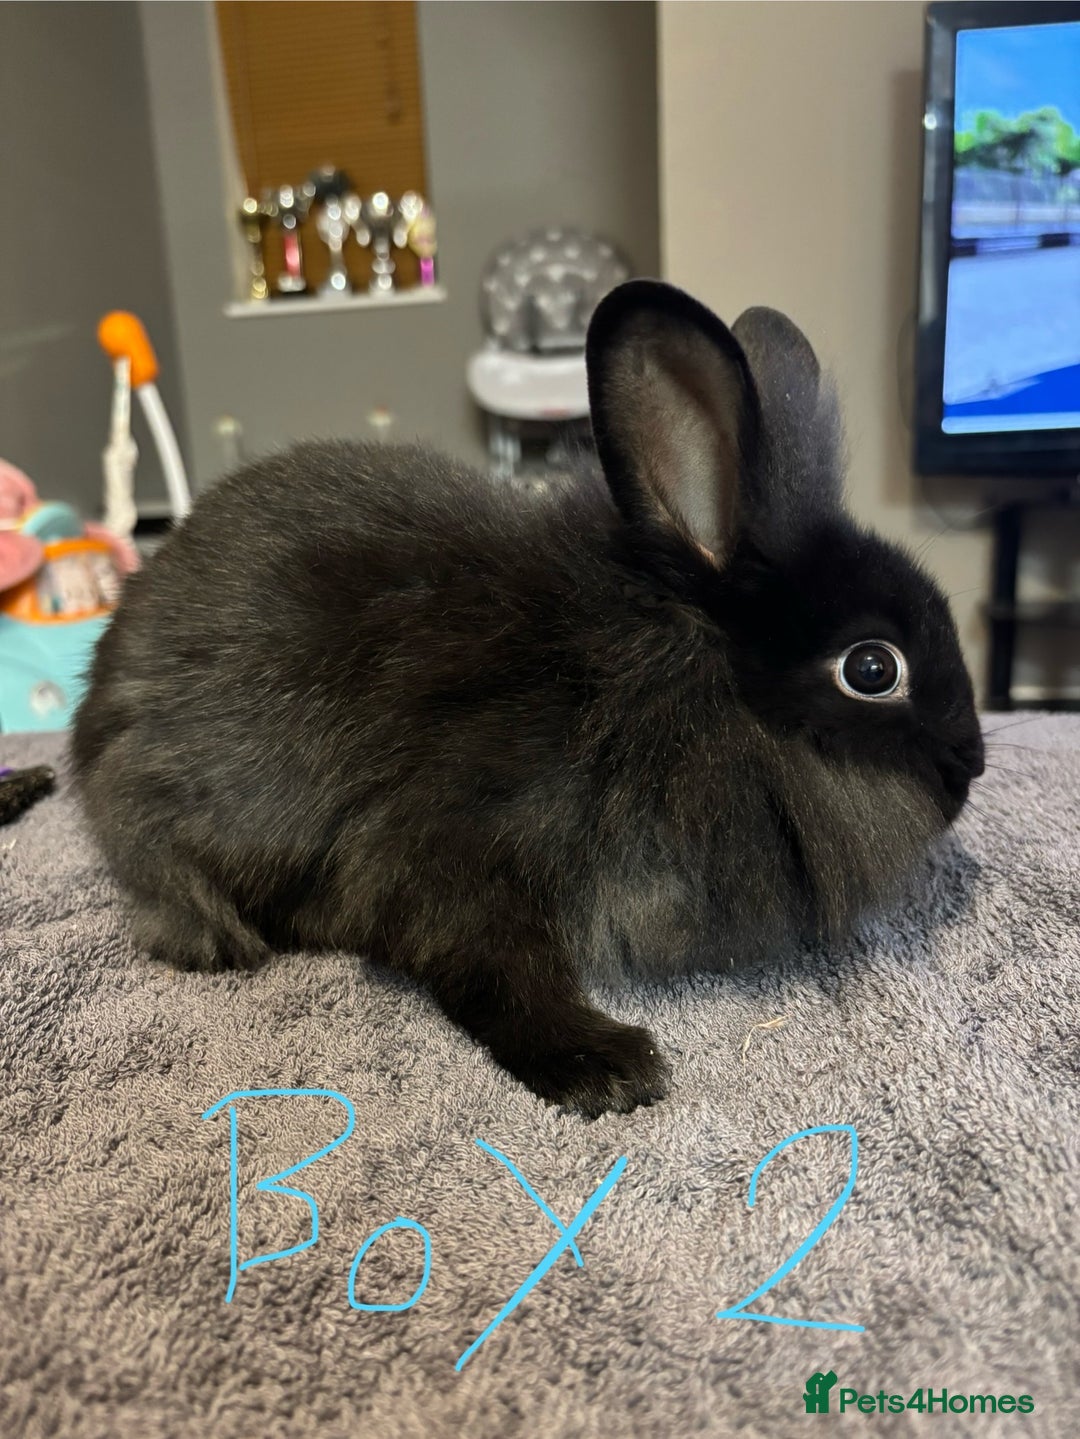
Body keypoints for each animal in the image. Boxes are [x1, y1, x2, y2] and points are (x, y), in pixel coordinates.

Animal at [71, 279, 984, 1118]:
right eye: (873, 669)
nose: (970, 768)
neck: (665, 682)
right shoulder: (451, 852)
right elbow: (495, 970)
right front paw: (608, 1068)